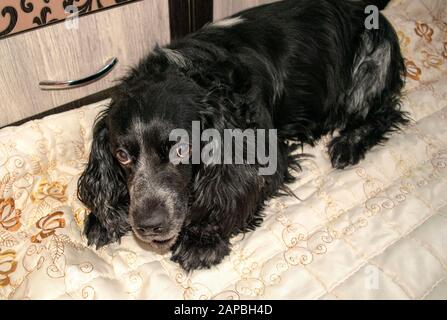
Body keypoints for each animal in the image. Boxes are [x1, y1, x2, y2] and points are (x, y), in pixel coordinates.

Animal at [78, 0, 410, 272]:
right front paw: (103, 217)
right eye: (122, 155)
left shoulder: (268, 157)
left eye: (181, 150)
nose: (149, 226)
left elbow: (234, 193)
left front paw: (202, 241)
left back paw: (348, 145)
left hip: (372, 61)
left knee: (386, 111)